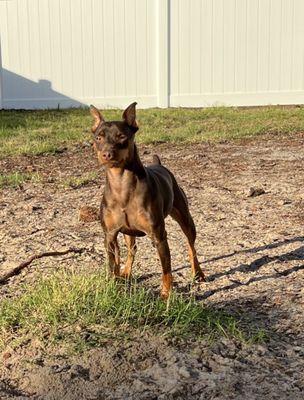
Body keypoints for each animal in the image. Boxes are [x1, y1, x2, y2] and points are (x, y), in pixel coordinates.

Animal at [89, 102, 205, 296]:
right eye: (98, 137)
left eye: (121, 136)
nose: (106, 154)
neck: (121, 184)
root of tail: (159, 164)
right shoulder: (110, 235)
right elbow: (113, 264)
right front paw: (114, 284)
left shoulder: (159, 237)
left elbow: (166, 270)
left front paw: (166, 294)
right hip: (128, 232)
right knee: (132, 249)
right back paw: (126, 272)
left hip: (186, 219)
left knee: (191, 246)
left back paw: (198, 273)